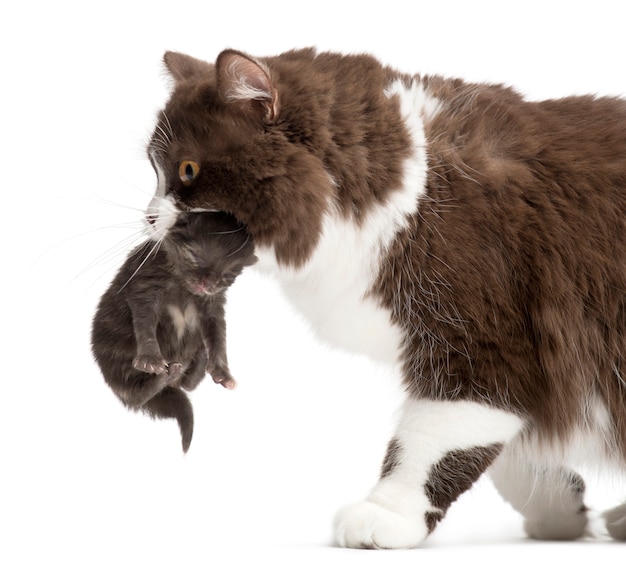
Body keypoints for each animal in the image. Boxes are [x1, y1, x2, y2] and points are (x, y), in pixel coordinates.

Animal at [140, 46, 624, 544]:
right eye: (154, 171)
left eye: (188, 170)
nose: (149, 217)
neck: (412, 192)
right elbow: (512, 456)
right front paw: (562, 512)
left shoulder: (484, 350)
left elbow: (429, 444)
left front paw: (387, 515)